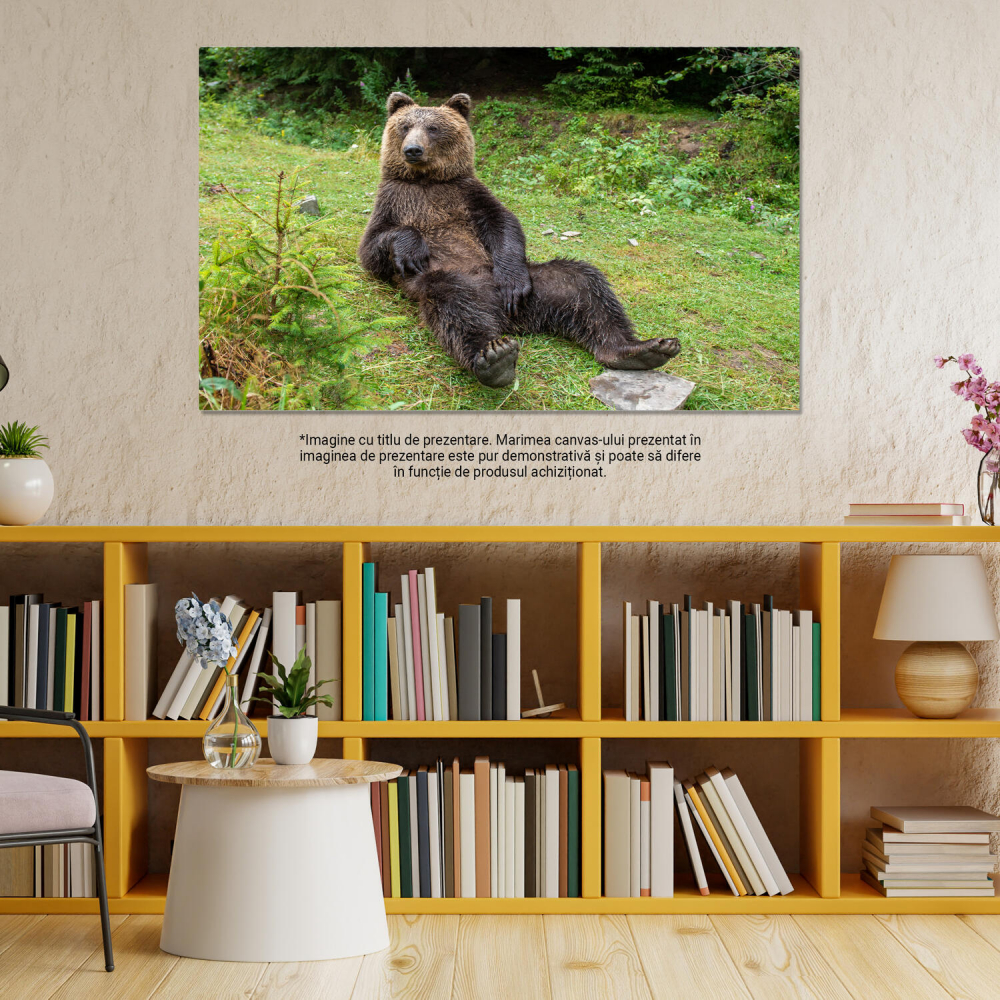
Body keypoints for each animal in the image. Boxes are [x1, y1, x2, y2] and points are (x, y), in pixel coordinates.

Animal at [358, 92, 681, 388]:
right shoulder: (397, 200)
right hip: (449, 282)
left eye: (434, 128)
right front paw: (410, 250)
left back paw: (641, 348)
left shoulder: (468, 194)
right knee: (459, 309)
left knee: (586, 287)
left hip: (543, 285)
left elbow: (504, 224)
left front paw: (511, 282)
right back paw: (494, 357)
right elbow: (372, 249)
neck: (427, 181)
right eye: (405, 126)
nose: (413, 150)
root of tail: (514, 320)